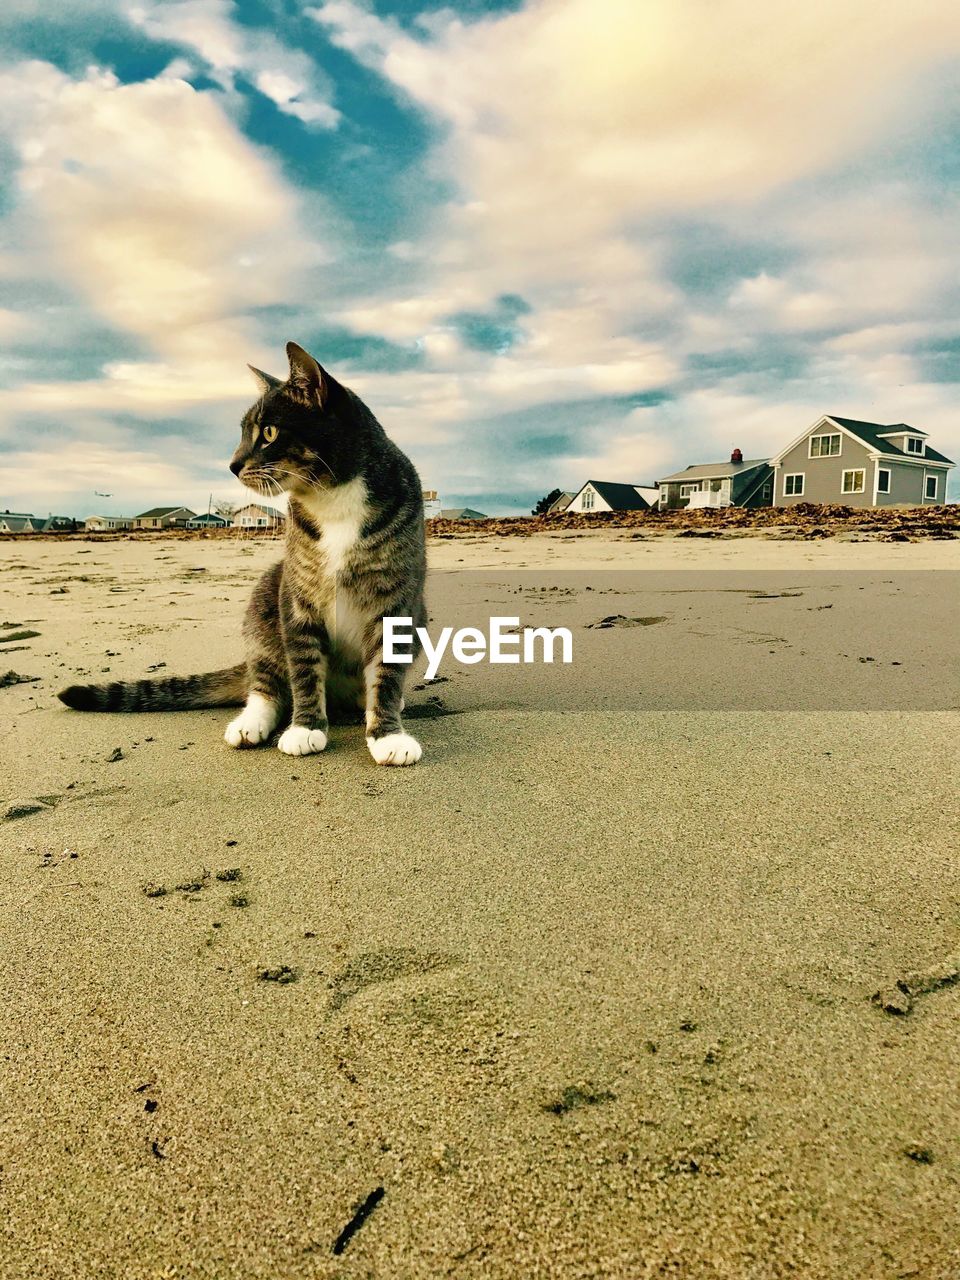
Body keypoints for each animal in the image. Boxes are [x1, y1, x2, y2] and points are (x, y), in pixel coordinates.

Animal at [59, 340, 427, 762]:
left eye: (268, 431)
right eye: (243, 434)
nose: (233, 465)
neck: (332, 499)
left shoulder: (396, 600)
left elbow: (387, 672)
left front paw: (387, 734)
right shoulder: (296, 597)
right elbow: (303, 669)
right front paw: (305, 728)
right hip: (266, 601)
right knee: (266, 685)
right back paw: (252, 723)